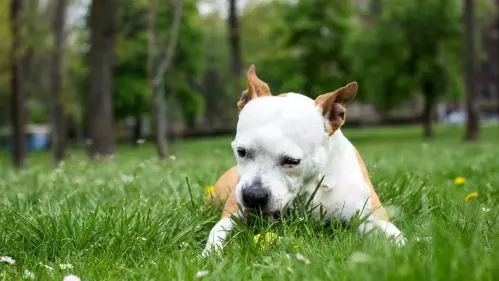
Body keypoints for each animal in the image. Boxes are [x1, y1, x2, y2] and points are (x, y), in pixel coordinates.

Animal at [203, 65, 406, 254]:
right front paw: (208, 255)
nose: (253, 196)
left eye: (292, 161)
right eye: (242, 151)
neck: (311, 185)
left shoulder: (373, 218)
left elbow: (399, 240)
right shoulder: (232, 215)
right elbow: (216, 233)